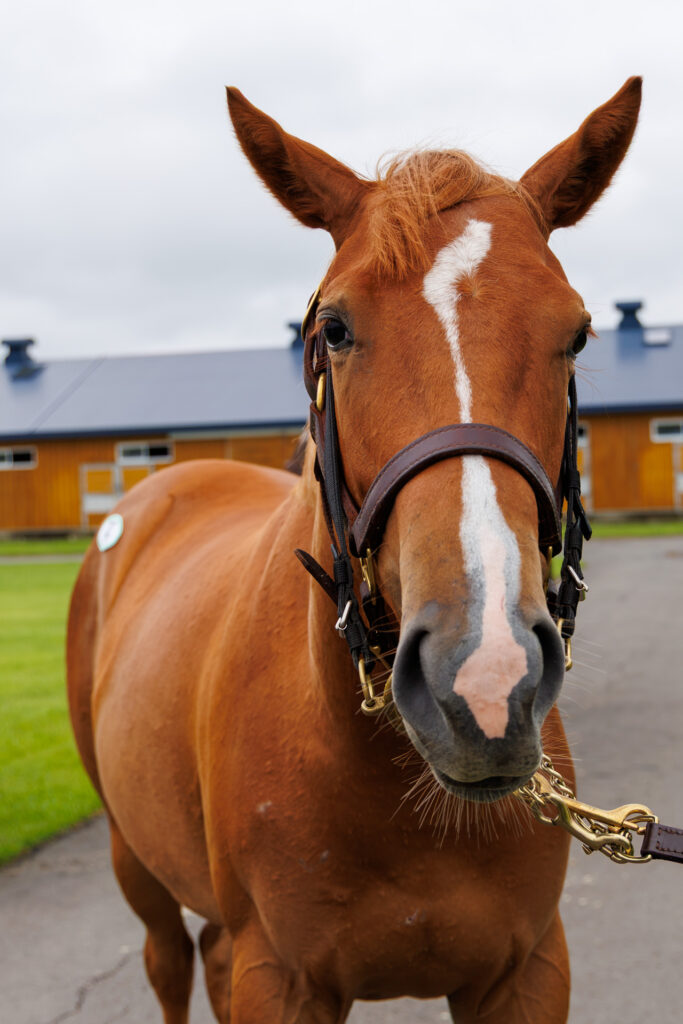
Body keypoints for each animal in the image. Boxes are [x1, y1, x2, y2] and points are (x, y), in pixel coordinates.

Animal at [67, 77, 641, 1022]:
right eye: (333, 328)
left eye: (578, 334)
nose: (484, 682)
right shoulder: (281, 980)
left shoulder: (525, 973)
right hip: (132, 860)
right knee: (168, 961)